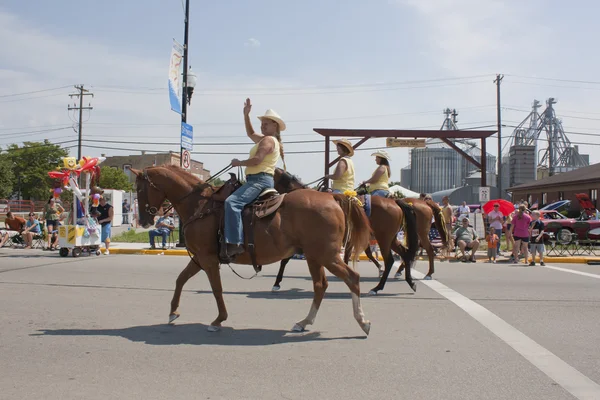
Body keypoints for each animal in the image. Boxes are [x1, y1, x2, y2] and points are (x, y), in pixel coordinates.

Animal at [132, 166, 376, 334]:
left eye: (139, 189)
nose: (143, 221)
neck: (200, 205)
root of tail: (333, 197)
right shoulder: (199, 258)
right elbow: (180, 279)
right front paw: (173, 312)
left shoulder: (208, 259)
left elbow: (216, 289)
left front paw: (218, 320)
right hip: (314, 256)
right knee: (320, 286)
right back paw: (304, 322)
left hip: (326, 255)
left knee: (351, 278)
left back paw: (363, 321)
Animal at [274, 167, 420, 296]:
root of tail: (395, 202)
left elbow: (284, 260)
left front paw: (276, 283)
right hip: (391, 239)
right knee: (405, 254)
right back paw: (410, 282)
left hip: (384, 238)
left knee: (389, 260)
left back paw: (377, 288)